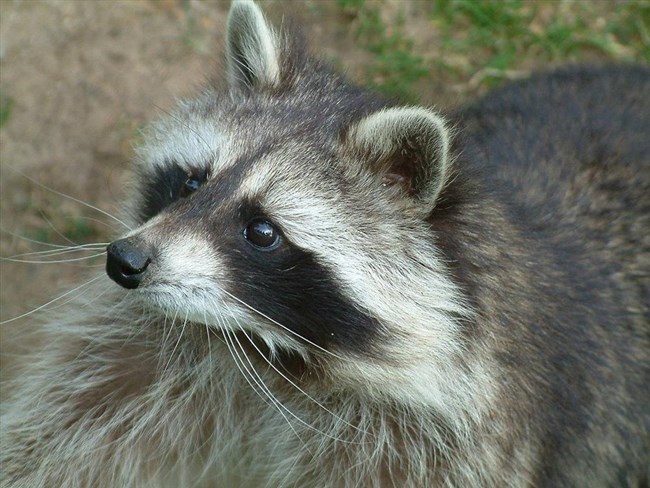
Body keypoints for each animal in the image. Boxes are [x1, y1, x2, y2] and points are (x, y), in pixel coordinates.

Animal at [1, 0, 649, 487]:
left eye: (262, 232)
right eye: (191, 181)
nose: (125, 261)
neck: (273, 353)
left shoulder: (453, 445)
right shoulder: (137, 363)